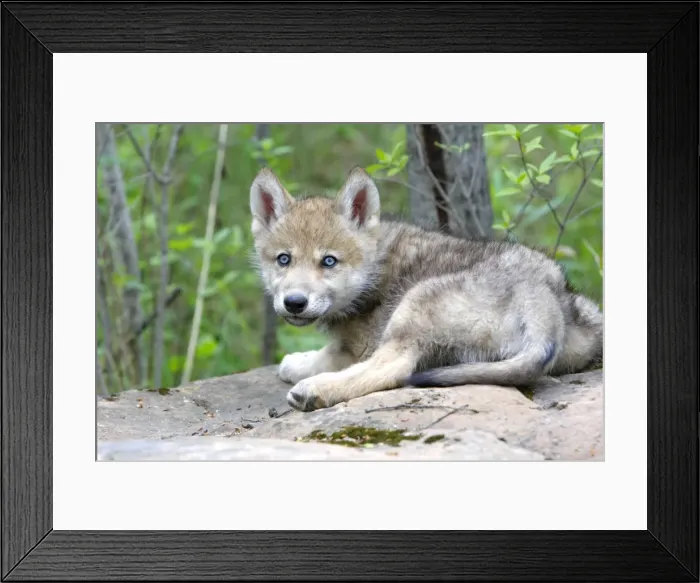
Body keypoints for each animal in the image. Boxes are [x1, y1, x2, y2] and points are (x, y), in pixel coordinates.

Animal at [249, 166, 603, 412]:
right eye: (284, 259)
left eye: (329, 261)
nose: (294, 302)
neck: (376, 264)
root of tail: (542, 293)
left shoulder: (359, 347)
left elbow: (325, 357)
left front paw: (296, 364)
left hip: (415, 302)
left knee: (392, 369)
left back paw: (313, 391)